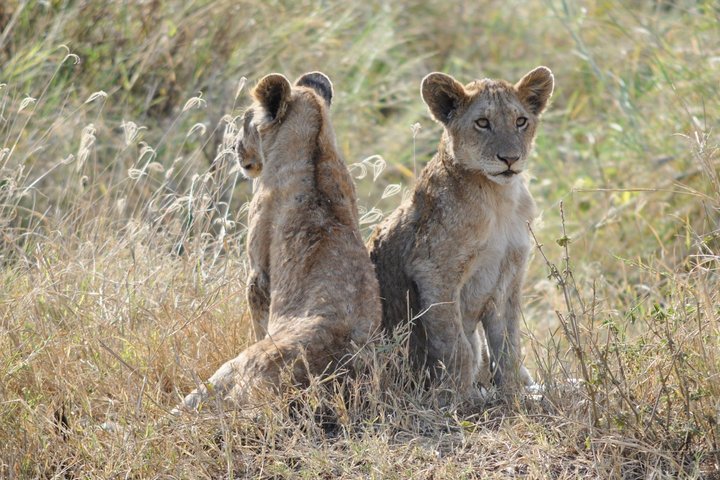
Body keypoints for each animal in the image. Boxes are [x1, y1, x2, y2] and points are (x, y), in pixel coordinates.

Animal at [178, 72, 381, 411]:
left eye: (245, 122)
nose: (235, 148)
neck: (316, 147)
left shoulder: (258, 271)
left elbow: (258, 317)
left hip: (238, 364)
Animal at [368, 66, 554, 398]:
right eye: (482, 123)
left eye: (520, 121)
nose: (510, 159)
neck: (498, 198)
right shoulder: (433, 271)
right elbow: (457, 344)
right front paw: (462, 396)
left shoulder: (509, 272)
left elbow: (507, 343)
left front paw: (513, 393)